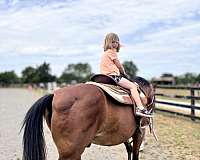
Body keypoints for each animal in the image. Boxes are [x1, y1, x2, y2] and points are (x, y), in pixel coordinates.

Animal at [21, 75, 155, 160]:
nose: (149, 112)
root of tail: (54, 95)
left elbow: (129, 149)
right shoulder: (139, 133)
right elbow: (135, 153)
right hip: (71, 153)